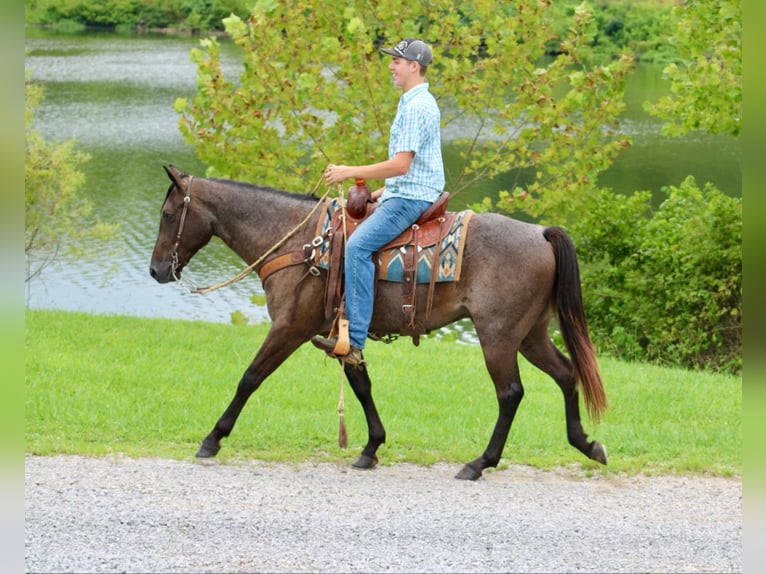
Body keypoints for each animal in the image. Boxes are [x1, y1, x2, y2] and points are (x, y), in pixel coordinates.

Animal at [150, 166, 608, 482]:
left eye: (169, 214)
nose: (156, 271)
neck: (302, 243)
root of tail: (540, 233)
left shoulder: (290, 327)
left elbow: (250, 377)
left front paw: (212, 438)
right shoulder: (340, 334)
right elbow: (361, 384)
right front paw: (371, 448)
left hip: (498, 335)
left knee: (510, 393)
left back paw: (479, 463)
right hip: (530, 334)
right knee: (566, 374)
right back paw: (586, 444)